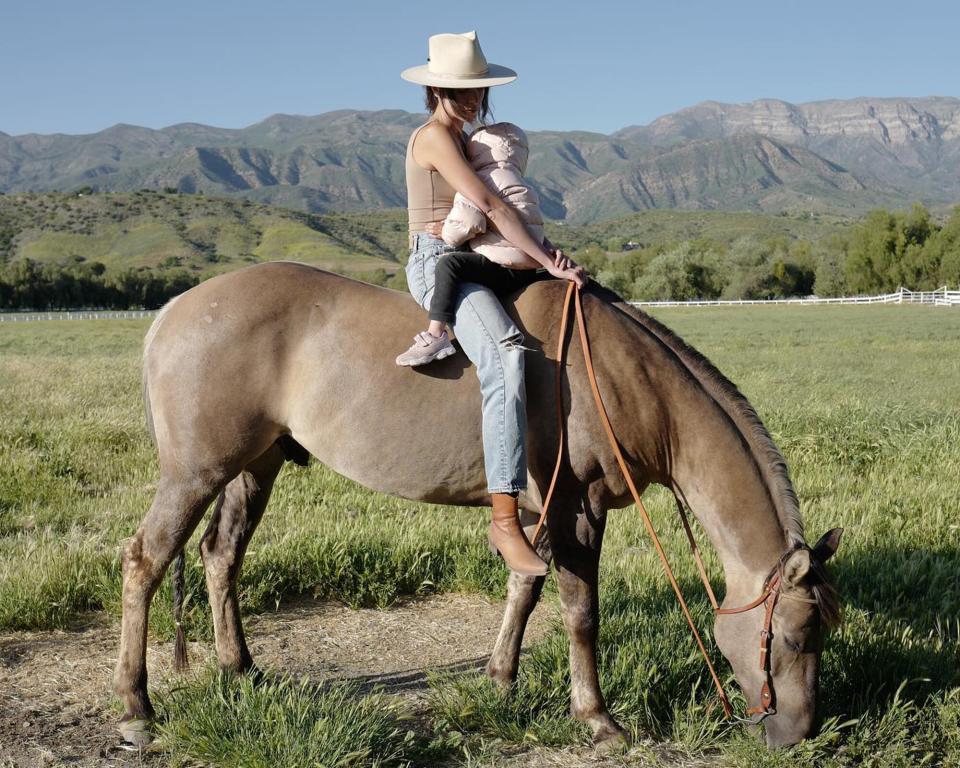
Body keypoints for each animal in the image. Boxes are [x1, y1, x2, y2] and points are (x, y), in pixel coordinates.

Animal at [112, 262, 840, 752]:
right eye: (796, 636)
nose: (799, 733)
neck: (620, 374)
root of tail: (174, 310)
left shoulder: (538, 512)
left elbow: (524, 585)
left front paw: (501, 677)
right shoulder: (578, 507)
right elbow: (581, 614)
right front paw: (596, 716)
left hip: (252, 468)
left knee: (220, 555)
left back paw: (239, 667)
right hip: (195, 473)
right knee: (146, 561)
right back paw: (136, 704)